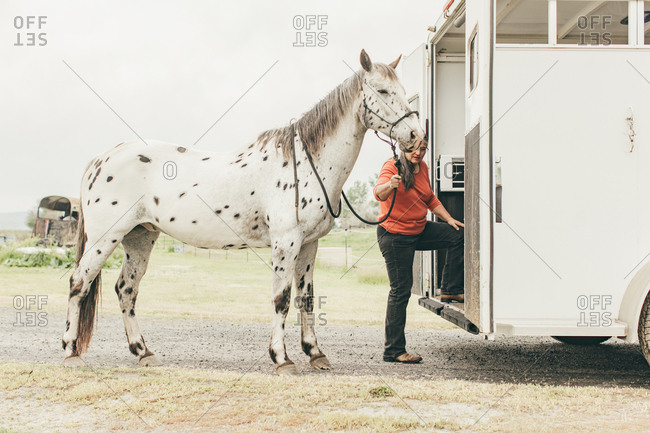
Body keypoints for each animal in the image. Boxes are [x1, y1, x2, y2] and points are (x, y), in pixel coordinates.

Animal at [62, 49, 425, 375]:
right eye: (383, 91)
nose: (417, 137)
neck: (306, 163)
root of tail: (101, 159)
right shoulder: (286, 243)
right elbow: (282, 298)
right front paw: (282, 358)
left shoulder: (309, 245)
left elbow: (306, 298)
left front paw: (315, 353)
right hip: (106, 238)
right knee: (79, 282)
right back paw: (71, 352)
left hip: (139, 237)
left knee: (126, 290)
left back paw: (143, 352)